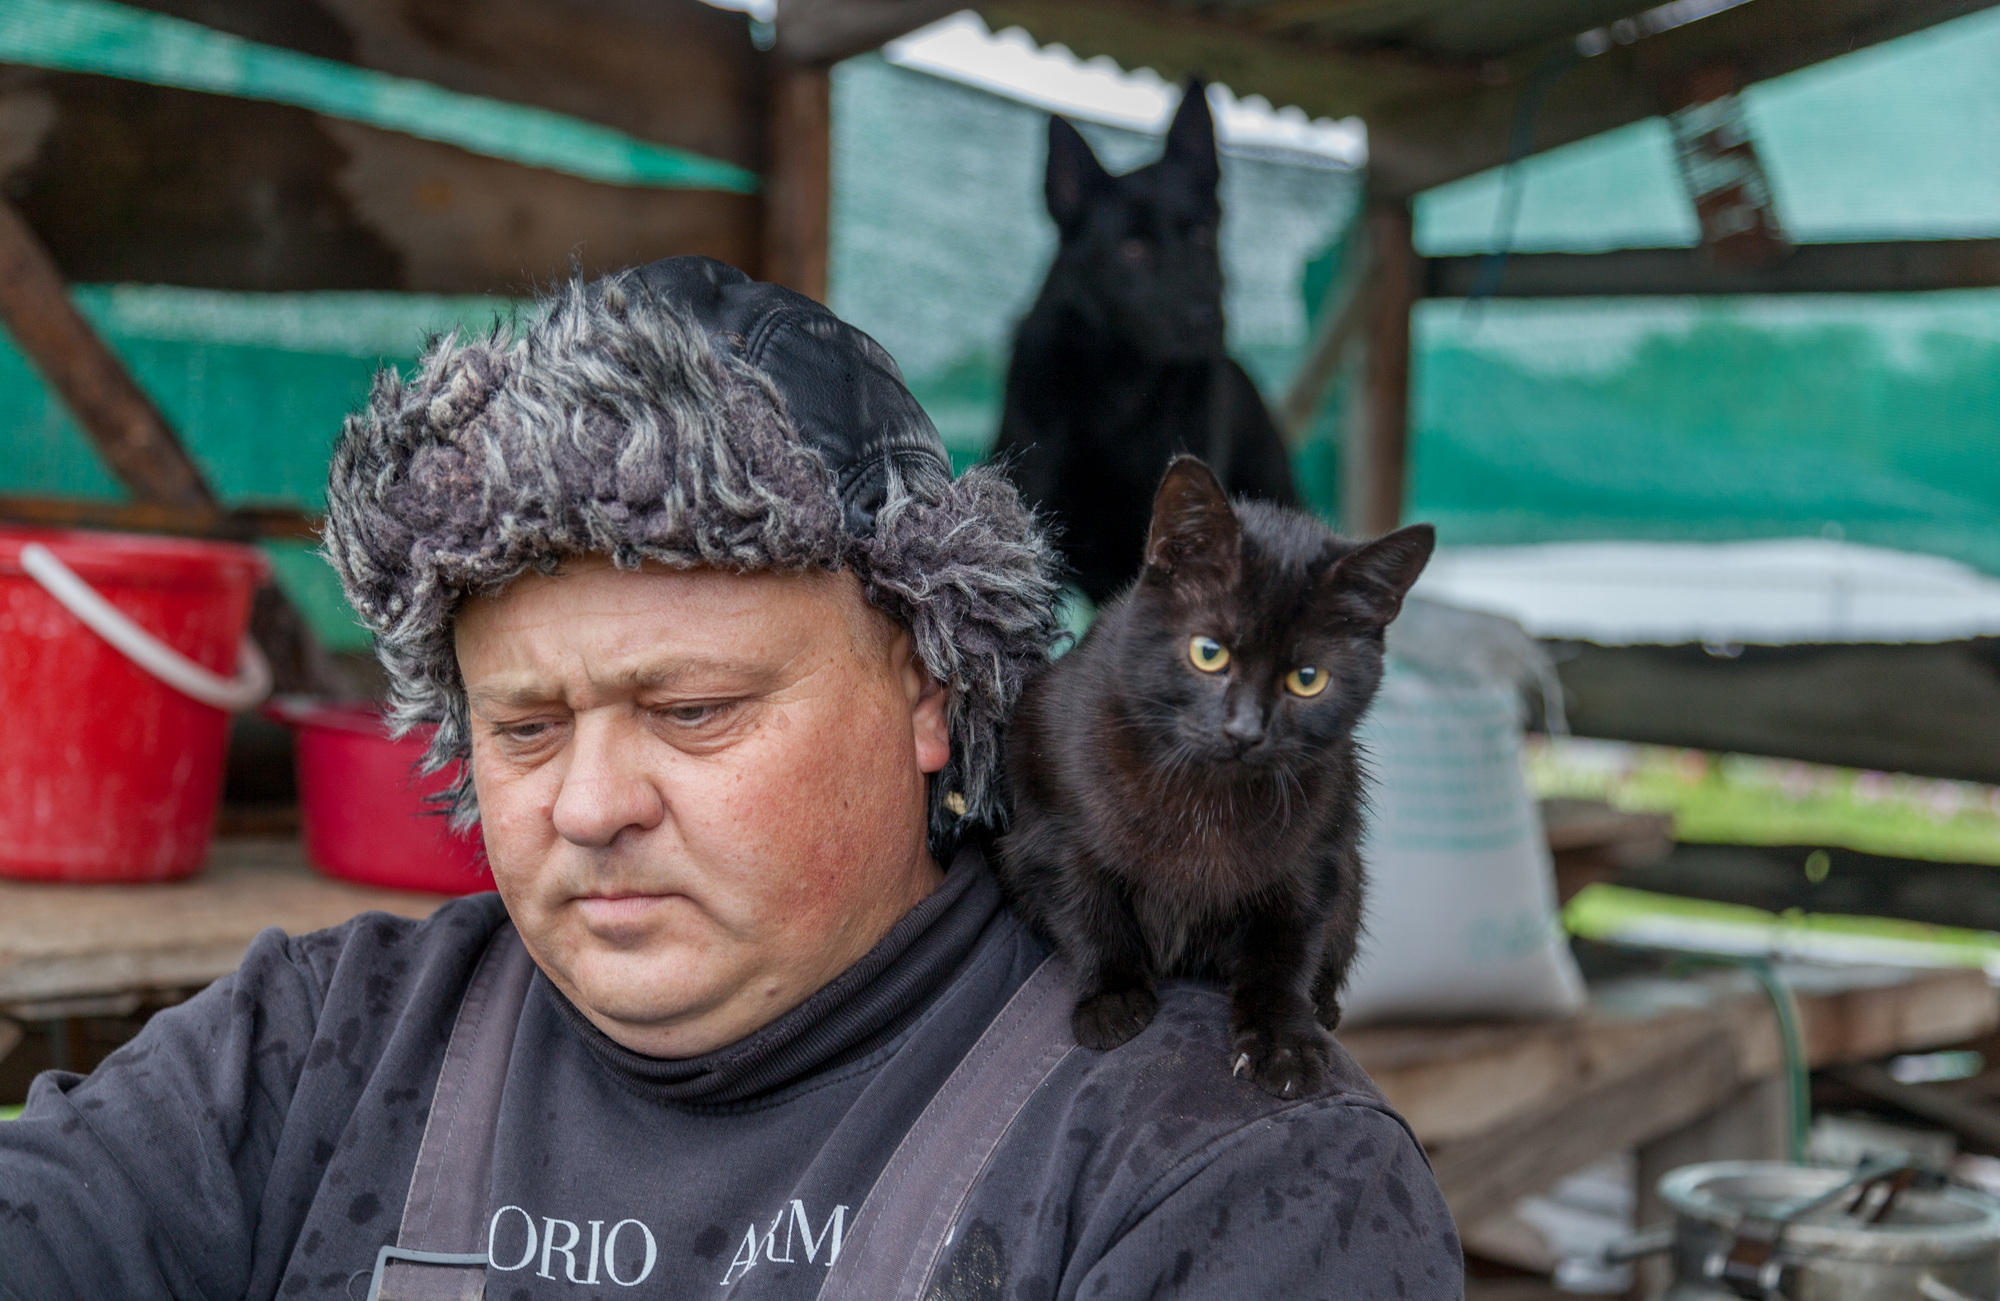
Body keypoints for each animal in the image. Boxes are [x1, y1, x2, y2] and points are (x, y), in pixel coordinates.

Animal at [1000, 456, 1440, 1096]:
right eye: (1208, 653)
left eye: (1308, 678)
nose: (1244, 731)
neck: (1205, 794)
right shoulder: (1051, 831)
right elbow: (1088, 912)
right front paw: (1111, 999)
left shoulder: (1313, 860)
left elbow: (1284, 954)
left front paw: (1283, 1043)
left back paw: (1325, 1007)